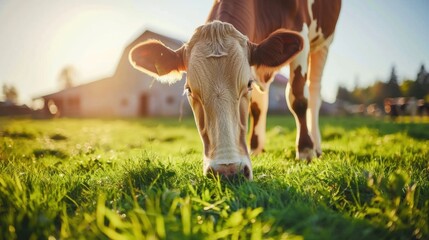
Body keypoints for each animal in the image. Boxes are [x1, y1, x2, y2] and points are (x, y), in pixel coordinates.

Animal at [129, 0, 340, 180]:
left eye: (247, 84)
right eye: (189, 90)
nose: (228, 171)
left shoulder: (302, 33)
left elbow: (297, 96)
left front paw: (305, 150)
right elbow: (257, 107)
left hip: (323, 43)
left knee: (313, 91)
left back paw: (315, 146)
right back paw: (257, 147)